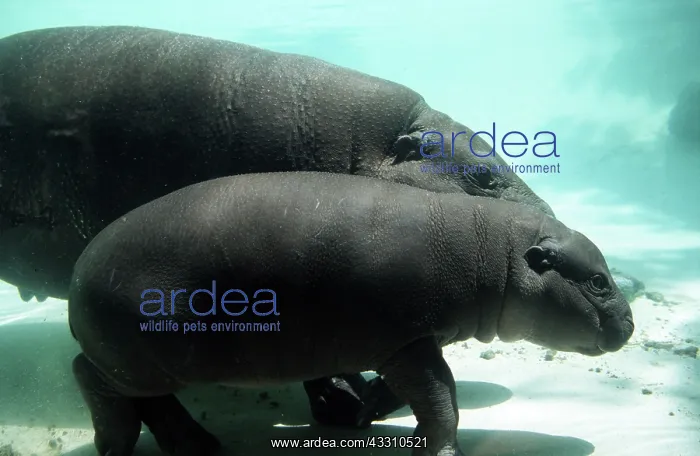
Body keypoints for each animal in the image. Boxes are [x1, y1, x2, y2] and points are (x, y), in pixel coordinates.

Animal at [68, 172, 634, 456]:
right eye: (599, 280)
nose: (628, 323)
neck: (491, 252)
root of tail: (79, 274)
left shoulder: (411, 341)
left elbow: (419, 392)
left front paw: (365, 415)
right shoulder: (404, 341)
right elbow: (441, 396)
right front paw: (436, 450)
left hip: (150, 365)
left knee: (150, 401)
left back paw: (198, 448)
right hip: (138, 359)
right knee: (91, 378)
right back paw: (116, 446)